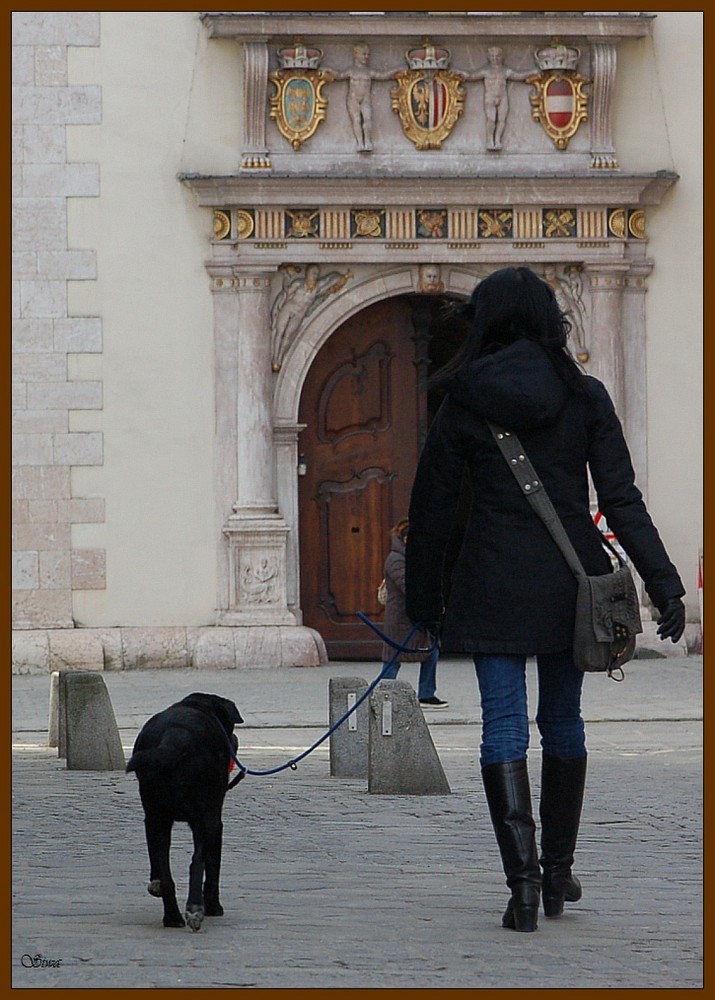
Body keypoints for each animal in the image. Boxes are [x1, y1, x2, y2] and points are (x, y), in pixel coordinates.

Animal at [125, 696, 243, 928]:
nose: (234, 739)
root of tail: (175, 735)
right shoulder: (216, 821)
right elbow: (212, 866)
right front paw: (214, 907)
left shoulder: (153, 820)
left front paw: (155, 884)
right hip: (205, 819)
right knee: (197, 862)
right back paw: (195, 909)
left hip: (157, 817)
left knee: (166, 873)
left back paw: (172, 917)